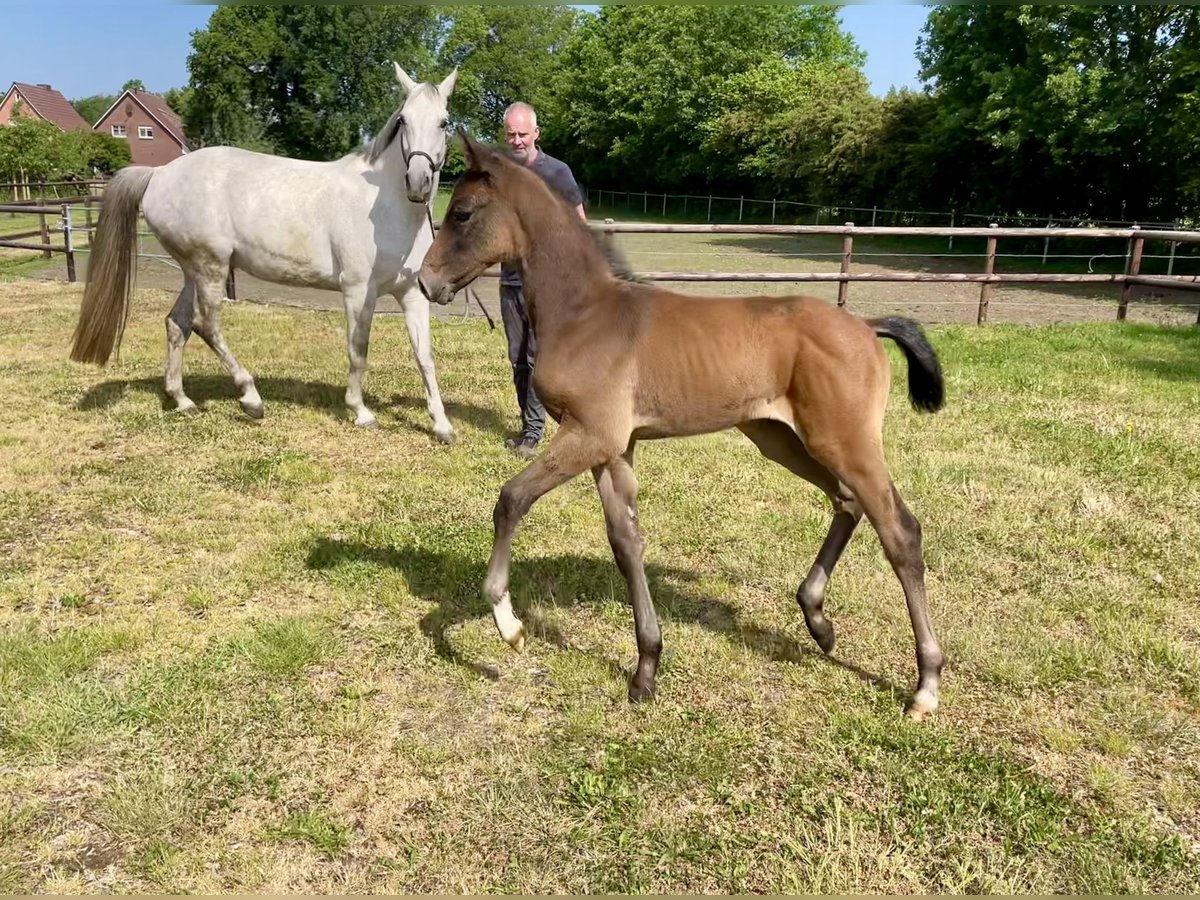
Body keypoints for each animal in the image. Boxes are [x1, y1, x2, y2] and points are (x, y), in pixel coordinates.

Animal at [71, 63, 458, 444]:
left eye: (444, 122)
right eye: (403, 120)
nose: (418, 181)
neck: (385, 209)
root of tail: (160, 173)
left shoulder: (411, 294)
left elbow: (425, 357)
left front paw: (441, 425)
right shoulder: (359, 290)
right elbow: (358, 349)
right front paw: (360, 411)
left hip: (192, 271)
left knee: (177, 324)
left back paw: (182, 401)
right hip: (211, 267)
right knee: (205, 324)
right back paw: (250, 398)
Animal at [420, 137, 945, 724]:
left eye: (462, 213)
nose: (425, 282)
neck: (584, 312)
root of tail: (864, 325)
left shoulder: (589, 435)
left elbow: (511, 499)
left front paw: (507, 624)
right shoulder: (613, 448)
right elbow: (626, 542)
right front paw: (646, 669)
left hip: (845, 442)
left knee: (900, 531)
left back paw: (925, 685)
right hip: (780, 438)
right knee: (847, 502)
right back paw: (818, 622)